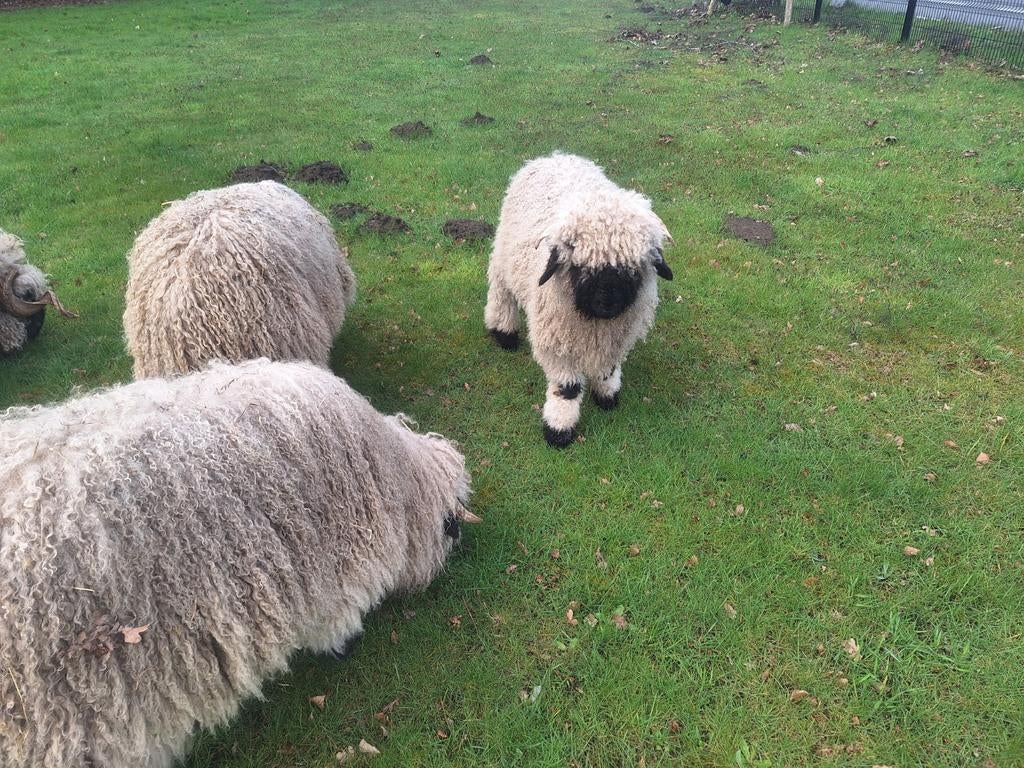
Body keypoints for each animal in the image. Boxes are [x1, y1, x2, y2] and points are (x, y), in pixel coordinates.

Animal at [484, 153, 674, 447]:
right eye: (579, 267)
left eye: (632, 269)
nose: (607, 304)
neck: (594, 324)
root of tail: (556, 156)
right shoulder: (557, 342)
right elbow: (567, 388)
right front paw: (559, 429)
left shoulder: (615, 338)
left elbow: (608, 369)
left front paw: (607, 394)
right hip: (504, 257)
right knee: (501, 292)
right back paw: (503, 331)